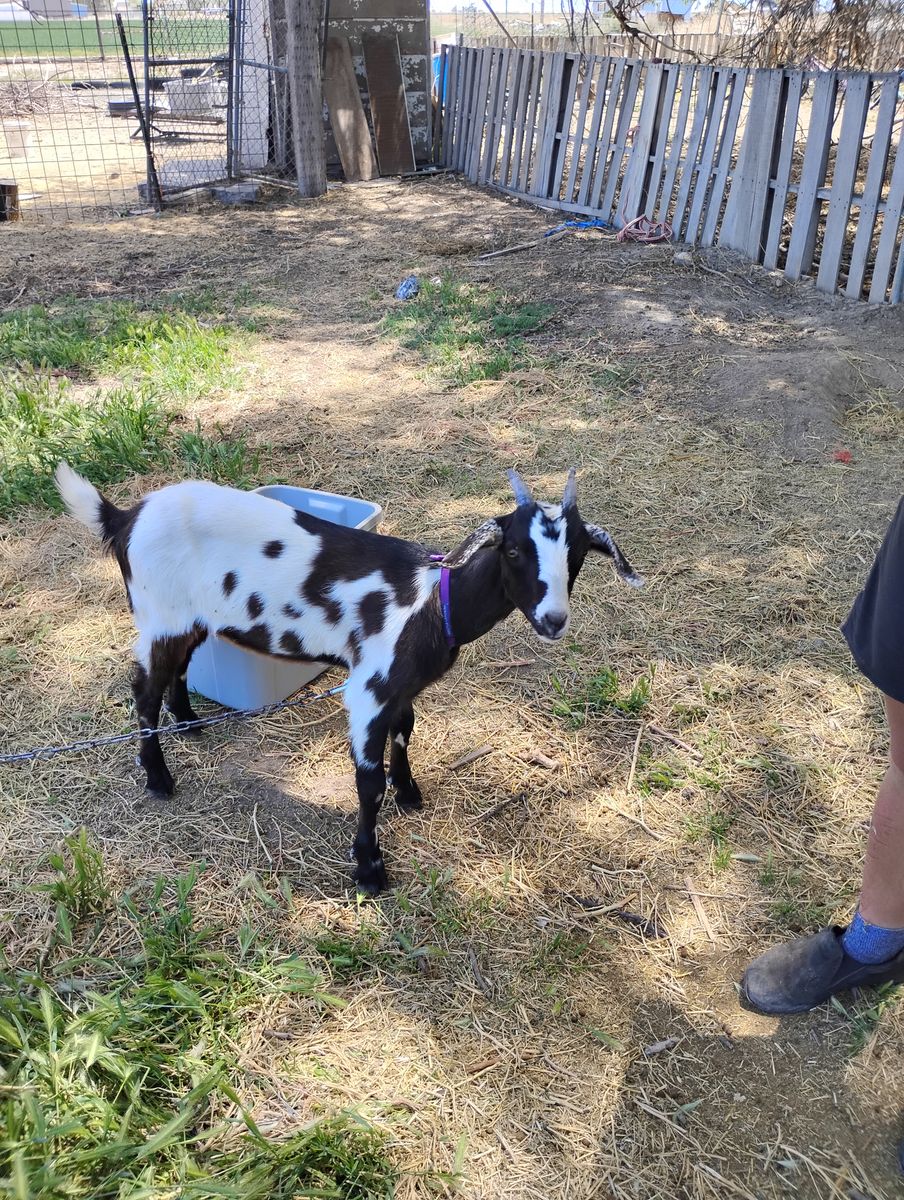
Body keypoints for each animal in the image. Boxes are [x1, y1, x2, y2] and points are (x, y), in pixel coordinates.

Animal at [55, 463, 642, 894]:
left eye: (577, 555)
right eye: (515, 549)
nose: (554, 620)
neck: (434, 603)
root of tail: (125, 517)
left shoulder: (399, 686)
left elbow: (406, 732)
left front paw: (410, 792)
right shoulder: (369, 689)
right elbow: (368, 782)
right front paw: (369, 869)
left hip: (193, 616)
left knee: (178, 669)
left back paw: (189, 723)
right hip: (161, 614)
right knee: (144, 688)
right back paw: (158, 777)